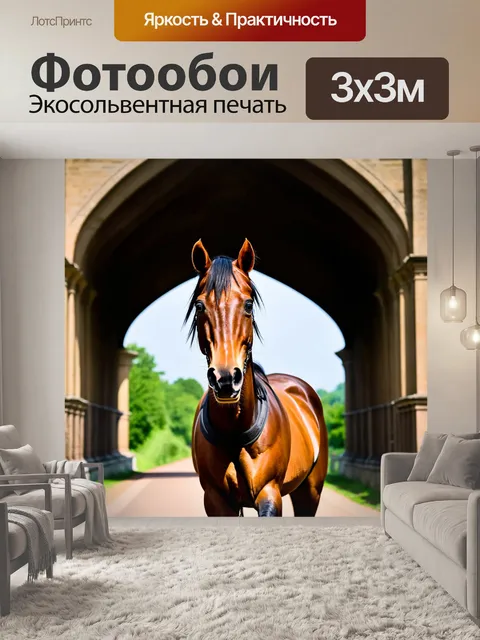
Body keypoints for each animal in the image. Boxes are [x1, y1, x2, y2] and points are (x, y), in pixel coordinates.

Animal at [186, 238, 329, 517]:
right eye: (199, 306)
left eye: (248, 305)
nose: (225, 379)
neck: (235, 430)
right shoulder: (216, 500)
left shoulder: (269, 492)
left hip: (311, 490)